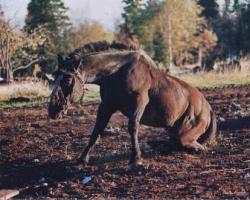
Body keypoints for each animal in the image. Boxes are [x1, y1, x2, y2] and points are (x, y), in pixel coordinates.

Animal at [47, 41, 217, 170]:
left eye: (67, 80)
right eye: (54, 78)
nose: (53, 110)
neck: (116, 72)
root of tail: (208, 108)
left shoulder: (139, 102)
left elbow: (133, 127)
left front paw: (136, 160)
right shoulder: (106, 106)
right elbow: (96, 132)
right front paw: (81, 160)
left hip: (186, 134)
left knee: (195, 145)